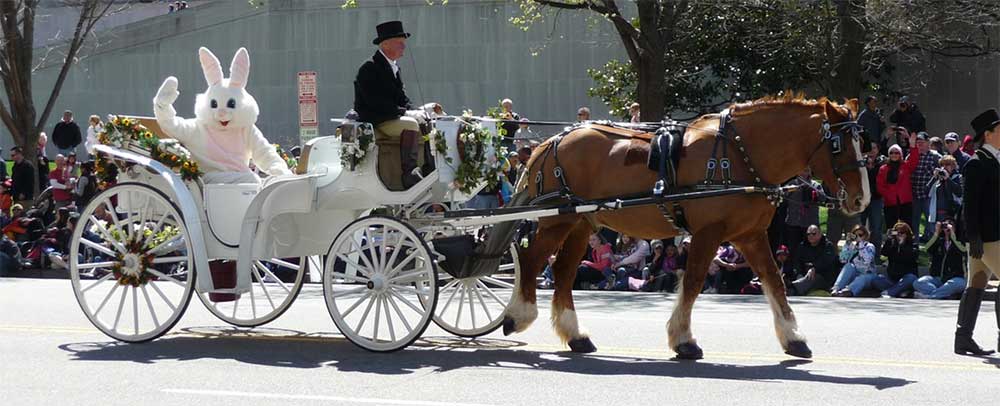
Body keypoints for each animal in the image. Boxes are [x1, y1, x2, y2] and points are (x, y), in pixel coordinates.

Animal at [504, 95, 872, 358]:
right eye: (838, 144)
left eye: (864, 141)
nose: (862, 198)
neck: (739, 154)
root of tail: (549, 142)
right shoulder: (709, 232)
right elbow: (694, 281)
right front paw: (683, 340)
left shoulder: (750, 235)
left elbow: (774, 281)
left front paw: (793, 338)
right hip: (558, 219)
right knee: (531, 262)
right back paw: (517, 315)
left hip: (581, 222)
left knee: (563, 271)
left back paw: (575, 335)